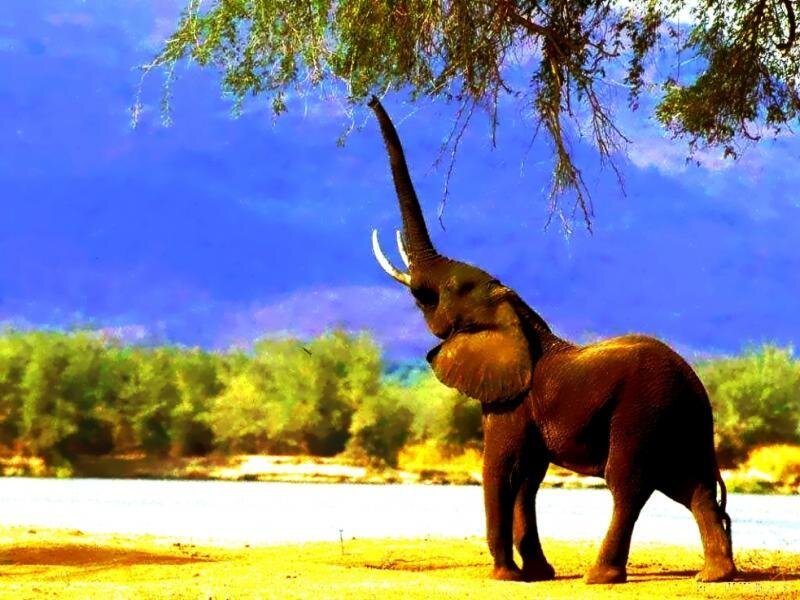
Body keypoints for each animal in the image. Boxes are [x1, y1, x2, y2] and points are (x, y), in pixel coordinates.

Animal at [366, 96, 737, 585]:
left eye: (442, 293)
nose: (369, 98)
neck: (517, 315)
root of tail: (697, 389)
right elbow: (529, 477)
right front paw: (537, 573)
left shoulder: (511, 399)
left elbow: (503, 468)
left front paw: (505, 576)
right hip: (681, 423)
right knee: (690, 485)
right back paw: (715, 575)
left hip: (643, 411)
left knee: (629, 484)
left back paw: (601, 576)